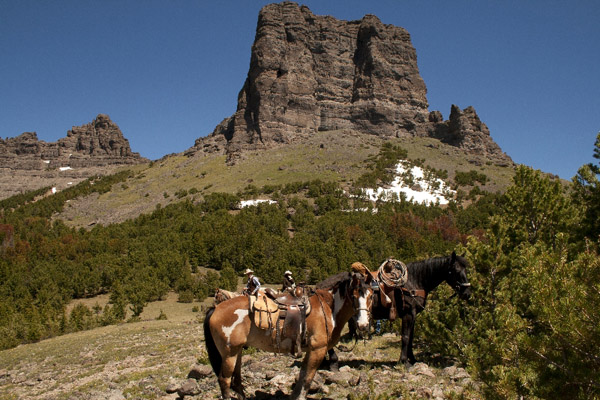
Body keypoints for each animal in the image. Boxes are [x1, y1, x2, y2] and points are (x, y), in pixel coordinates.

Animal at [204, 272, 372, 400]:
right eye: (353, 295)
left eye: (371, 296)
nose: (363, 325)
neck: (328, 307)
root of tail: (216, 309)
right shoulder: (318, 349)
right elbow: (308, 378)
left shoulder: (310, 350)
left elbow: (302, 376)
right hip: (229, 354)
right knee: (225, 381)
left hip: (237, 352)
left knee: (236, 380)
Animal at [330, 252, 472, 368]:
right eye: (455, 270)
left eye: (466, 269)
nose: (467, 293)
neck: (413, 282)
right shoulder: (408, 314)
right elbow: (405, 337)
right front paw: (404, 361)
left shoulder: (413, 315)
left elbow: (411, 337)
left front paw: (412, 359)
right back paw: (333, 362)